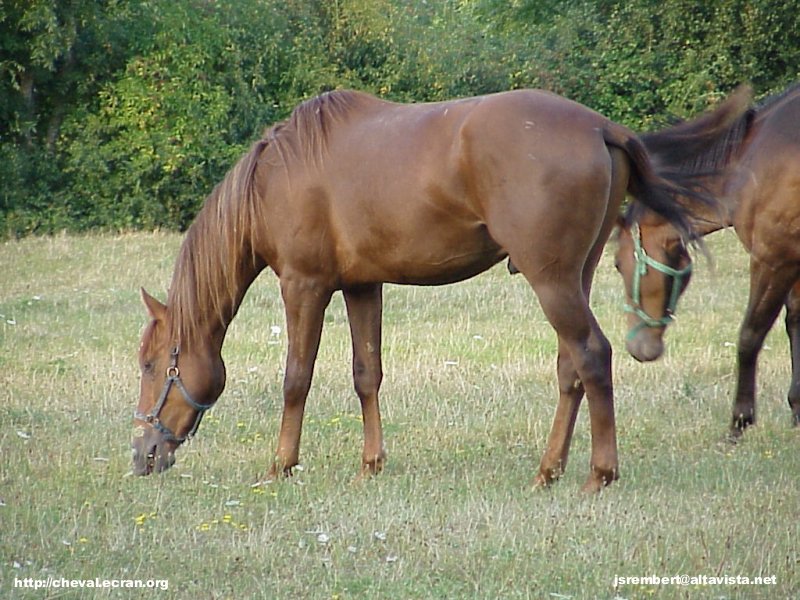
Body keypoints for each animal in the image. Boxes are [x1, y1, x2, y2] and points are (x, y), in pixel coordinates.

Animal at [616, 81, 800, 436]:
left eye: (619, 264)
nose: (638, 348)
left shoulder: (773, 257)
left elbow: (750, 335)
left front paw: (740, 420)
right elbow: (795, 323)